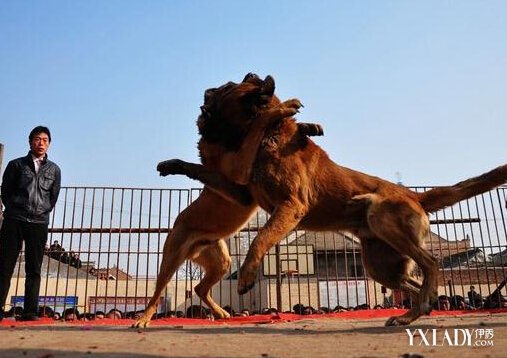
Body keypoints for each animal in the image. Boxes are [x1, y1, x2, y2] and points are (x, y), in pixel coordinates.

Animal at [133, 74, 324, 328]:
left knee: (200, 288)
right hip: (171, 259)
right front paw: (283, 109)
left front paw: (308, 126)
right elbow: (259, 125)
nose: (253, 73)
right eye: (230, 86)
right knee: (157, 294)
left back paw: (220, 313)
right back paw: (144, 318)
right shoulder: (241, 174)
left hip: (220, 260)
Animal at [161, 72, 507, 324]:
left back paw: (415, 310)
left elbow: (261, 237)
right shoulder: (243, 194)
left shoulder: (292, 206)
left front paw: (246, 276)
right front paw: (174, 165)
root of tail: (412, 195)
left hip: (382, 219)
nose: (207, 92)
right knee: (414, 282)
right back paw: (413, 312)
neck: (270, 139)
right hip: (380, 265)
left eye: (228, 88)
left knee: (432, 263)